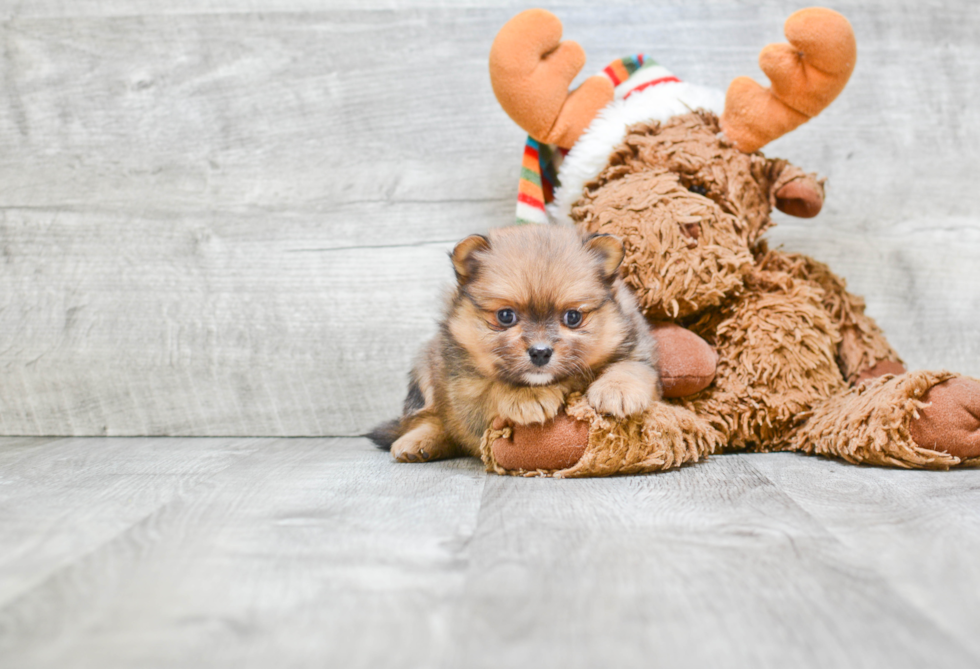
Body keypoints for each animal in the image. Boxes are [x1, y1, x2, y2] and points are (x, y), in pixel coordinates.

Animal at [368, 224, 660, 460]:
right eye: (506, 316)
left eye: (573, 317)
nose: (540, 352)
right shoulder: (463, 389)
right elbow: (492, 388)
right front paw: (528, 396)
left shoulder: (637, 348)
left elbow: (632, 367)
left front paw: (618, 390)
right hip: (425, 370)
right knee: (430, 418)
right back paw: (417, 441)